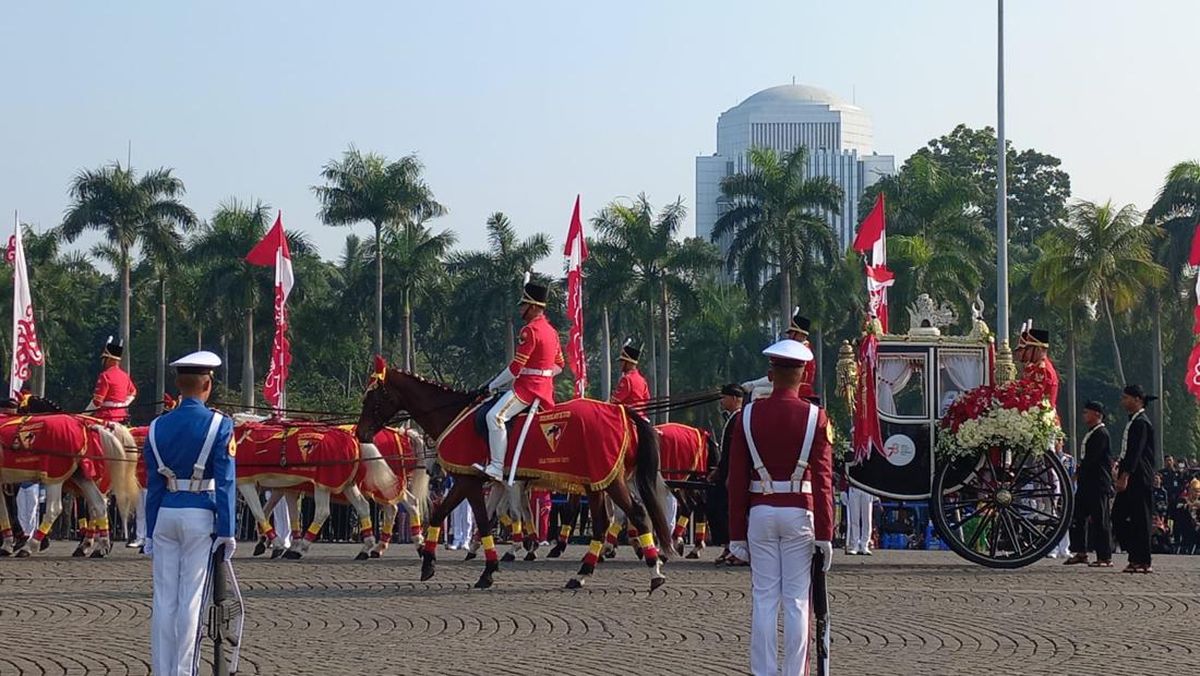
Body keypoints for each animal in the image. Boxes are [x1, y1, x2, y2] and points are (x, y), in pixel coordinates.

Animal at [0, 398, 138, 557]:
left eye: (23, 410)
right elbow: (5, 511)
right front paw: (8, 544)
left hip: (56, 476)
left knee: (55, 509)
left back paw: (31, 546)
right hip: (81, 476)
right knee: (98, 504)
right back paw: (100, 546)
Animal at [355, 360, 676, 593]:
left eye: (373, 396)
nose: (360, 433)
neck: (454, 415)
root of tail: (622, 411)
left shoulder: (469, 481)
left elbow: (480, 519)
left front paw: (483, 569)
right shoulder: (481, 483)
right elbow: (457, 515)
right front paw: (435, 563)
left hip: (610, 480)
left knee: (636, 512)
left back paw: (654, 570)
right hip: (596, 482)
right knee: (602, 522)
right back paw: (583, 573)